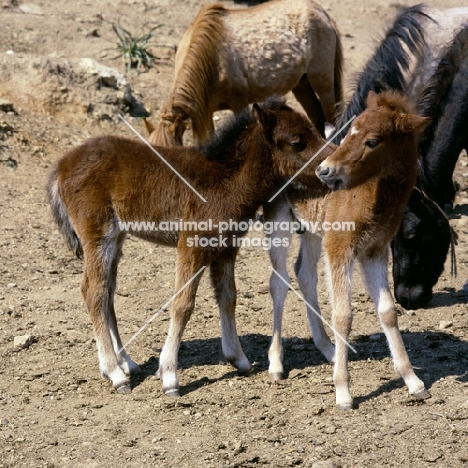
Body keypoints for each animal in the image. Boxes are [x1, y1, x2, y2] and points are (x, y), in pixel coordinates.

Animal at [46, 97, 330, 396]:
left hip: (117, 237)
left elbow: (228, 297)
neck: (224, 178)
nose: (327, 166)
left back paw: (126, 363)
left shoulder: (227, 247)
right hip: (98, 234)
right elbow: (182, 304)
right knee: (94, 292)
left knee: (108, 291)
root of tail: (62, 165)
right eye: (297, 142)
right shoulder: (191, 245)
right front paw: (169, 376)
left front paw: (238, 359)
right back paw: (115, 373)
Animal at [146, 0, 344, 145]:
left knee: (331, 117)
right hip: (301, 84)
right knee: (317, 118)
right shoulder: (207, 112)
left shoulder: (239, 104)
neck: (211, 57)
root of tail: (320, 11)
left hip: (322, 82)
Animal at [266, 90, 430, 406]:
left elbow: (387, 311)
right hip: (278, 220)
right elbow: (343, 315)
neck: (371, 195)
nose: (324, 171)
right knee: (279, 280)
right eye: (350, 131)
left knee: (304, 273)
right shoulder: (340, 247)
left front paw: (413, 381)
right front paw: (342, 390)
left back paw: (327, 348)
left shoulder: (374, 250)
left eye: (372, 141)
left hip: (312, 229)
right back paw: (276, 363)